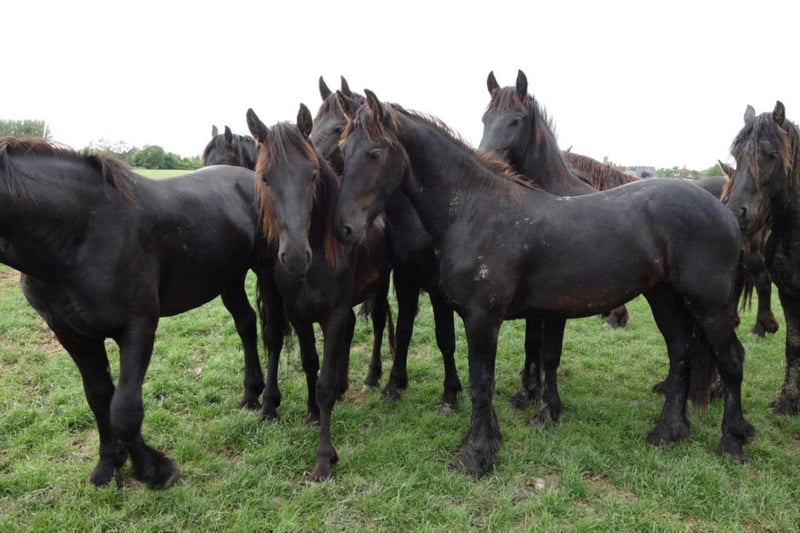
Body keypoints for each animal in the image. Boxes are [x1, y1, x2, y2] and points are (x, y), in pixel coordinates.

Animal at [0, 137, 274, 488]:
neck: (80, 230)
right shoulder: (73, 335)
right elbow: (99, 397)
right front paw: (108, 464)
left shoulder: (137, 327)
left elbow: (124, 408)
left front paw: (154, 469)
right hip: (228, 278)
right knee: (246, 323)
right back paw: (251, 393)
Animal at [246, 104, 392, 479]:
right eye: (264, 177)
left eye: (312, 175)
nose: (296, 256)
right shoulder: (298, 313)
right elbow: (311, 362)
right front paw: (312, 411)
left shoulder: (334, 312)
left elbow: (324, 382)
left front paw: (324, 458)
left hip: (382, 286)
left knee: (379, 324)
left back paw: (370, 377)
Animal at [311, 76, 462, 408]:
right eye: (313, 127)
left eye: (337, 129)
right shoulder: (405, 276)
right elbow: (404, 329)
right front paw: (394, 383)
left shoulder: (436, 285)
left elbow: (445, 335)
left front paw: (450, 392)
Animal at [334, 90, 753, 477]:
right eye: (343, 150)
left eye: (374, 153)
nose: (345, 229)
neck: (475, 209)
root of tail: (726, 212)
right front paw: (490, 437)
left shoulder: (482, 318)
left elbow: (481, 382)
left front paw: (477, 453)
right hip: (664, 297)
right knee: (680, 354)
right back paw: (668, 431)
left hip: (709, 305)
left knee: (731, 360)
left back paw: (731, 439)